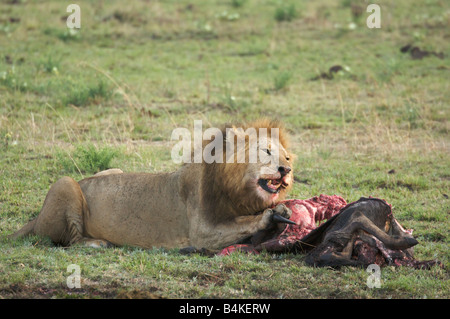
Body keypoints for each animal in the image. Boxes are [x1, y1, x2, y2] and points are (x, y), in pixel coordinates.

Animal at [10, 119, 294, 251]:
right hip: (65, 183)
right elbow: (243, 223)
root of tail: (35, 219)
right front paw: (272, 215)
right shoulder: (201, 231)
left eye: (287, 156)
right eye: (266, 151)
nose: (287, 169)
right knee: (70, 240)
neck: (238, 189)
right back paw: (97, 243)